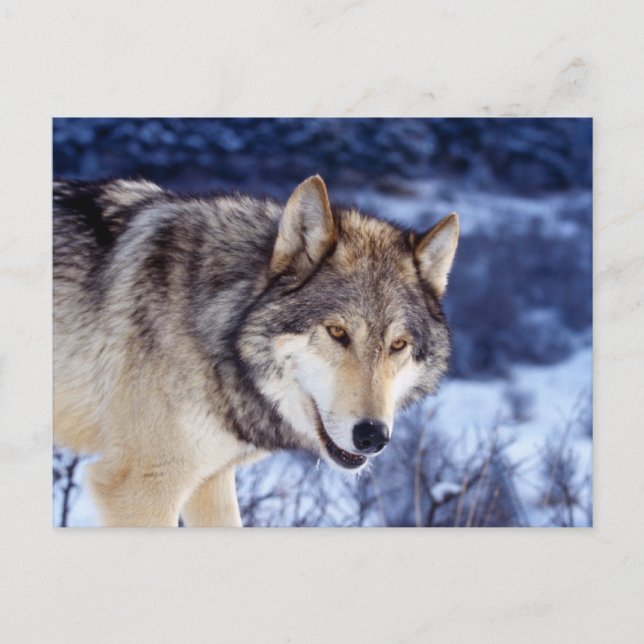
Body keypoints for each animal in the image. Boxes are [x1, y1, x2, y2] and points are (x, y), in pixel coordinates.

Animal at [53, 175, 459, 527]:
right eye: (338, 332)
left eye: (398, 344)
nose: (372, 436)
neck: (218, 327)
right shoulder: (141, 487)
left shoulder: (210, 481)